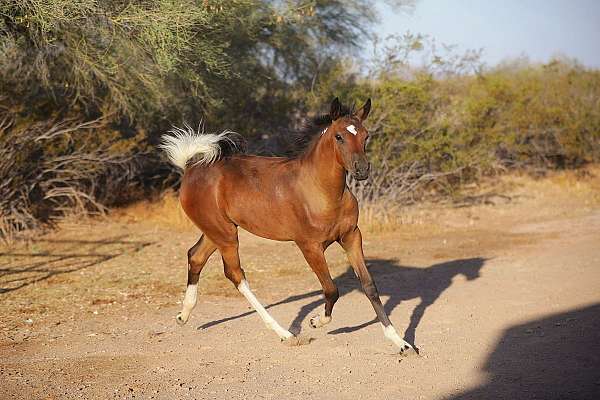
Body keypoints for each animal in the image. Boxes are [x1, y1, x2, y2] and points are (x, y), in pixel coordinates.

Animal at [162, 98, 418, 354]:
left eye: (366, 135)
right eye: (339, 136)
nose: (362, 169)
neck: (321, 190)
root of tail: (190, 168)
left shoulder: (351, 236)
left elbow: (369, 286)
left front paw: (402, 343)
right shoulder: (309, 246)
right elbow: (331, 289)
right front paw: (316, 321)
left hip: (217, 230)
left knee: (196, 256)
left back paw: (183, 316)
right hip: (225, 235)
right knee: (235, 274)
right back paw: (285, 334)